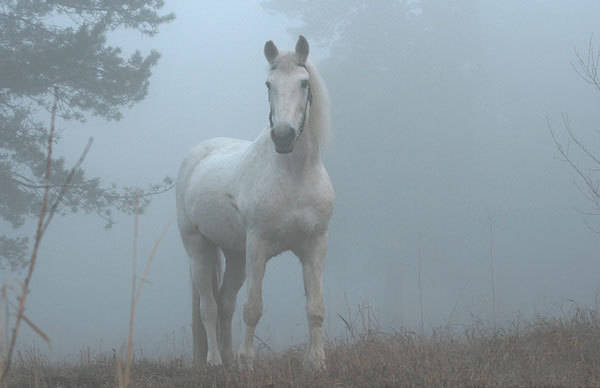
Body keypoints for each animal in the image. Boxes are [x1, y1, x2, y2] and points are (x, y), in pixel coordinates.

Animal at [175, 37, 332, 370]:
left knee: (225, 302)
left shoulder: (314, 245)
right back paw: (214, 360)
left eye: (304, 82)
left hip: (235, 254)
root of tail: (196, 155)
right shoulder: (258, 246)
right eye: (268, 84)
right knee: (208, 306)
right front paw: (247, 362)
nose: (283, 137)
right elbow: (253, 308)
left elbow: (315, 307)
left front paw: (316, 362)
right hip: (199, 247)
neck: (294, 176)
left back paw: (228, 357)